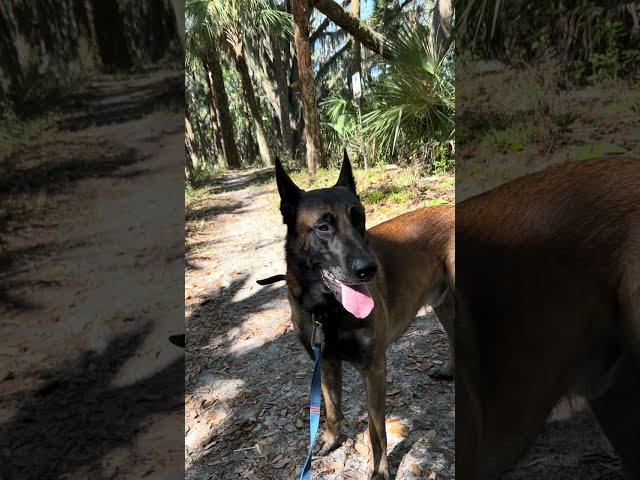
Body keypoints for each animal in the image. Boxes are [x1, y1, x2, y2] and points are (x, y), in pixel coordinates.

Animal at [276, 155, 456, 480]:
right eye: (323, 227)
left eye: (359, 218)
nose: (368, 269)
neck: (327, 309)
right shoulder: (327, 363)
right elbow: (332, 411)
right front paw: (331, 441)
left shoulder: (373, 369)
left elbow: (376, 430)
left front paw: (381, 469)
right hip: (443, 304)